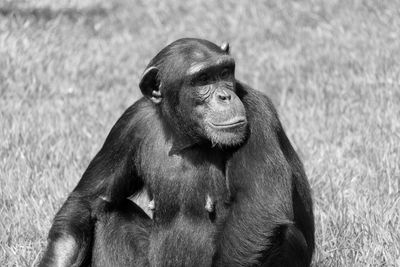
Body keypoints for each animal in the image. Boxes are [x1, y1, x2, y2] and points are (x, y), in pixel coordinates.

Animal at [40, 38, 316, 267]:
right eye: (203, 79)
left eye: (224, 72)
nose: (225, 95)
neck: (186, 136)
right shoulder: (127, 125)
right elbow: (86, 202)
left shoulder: (257, 111)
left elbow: (258, 209)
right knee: (109, 211)